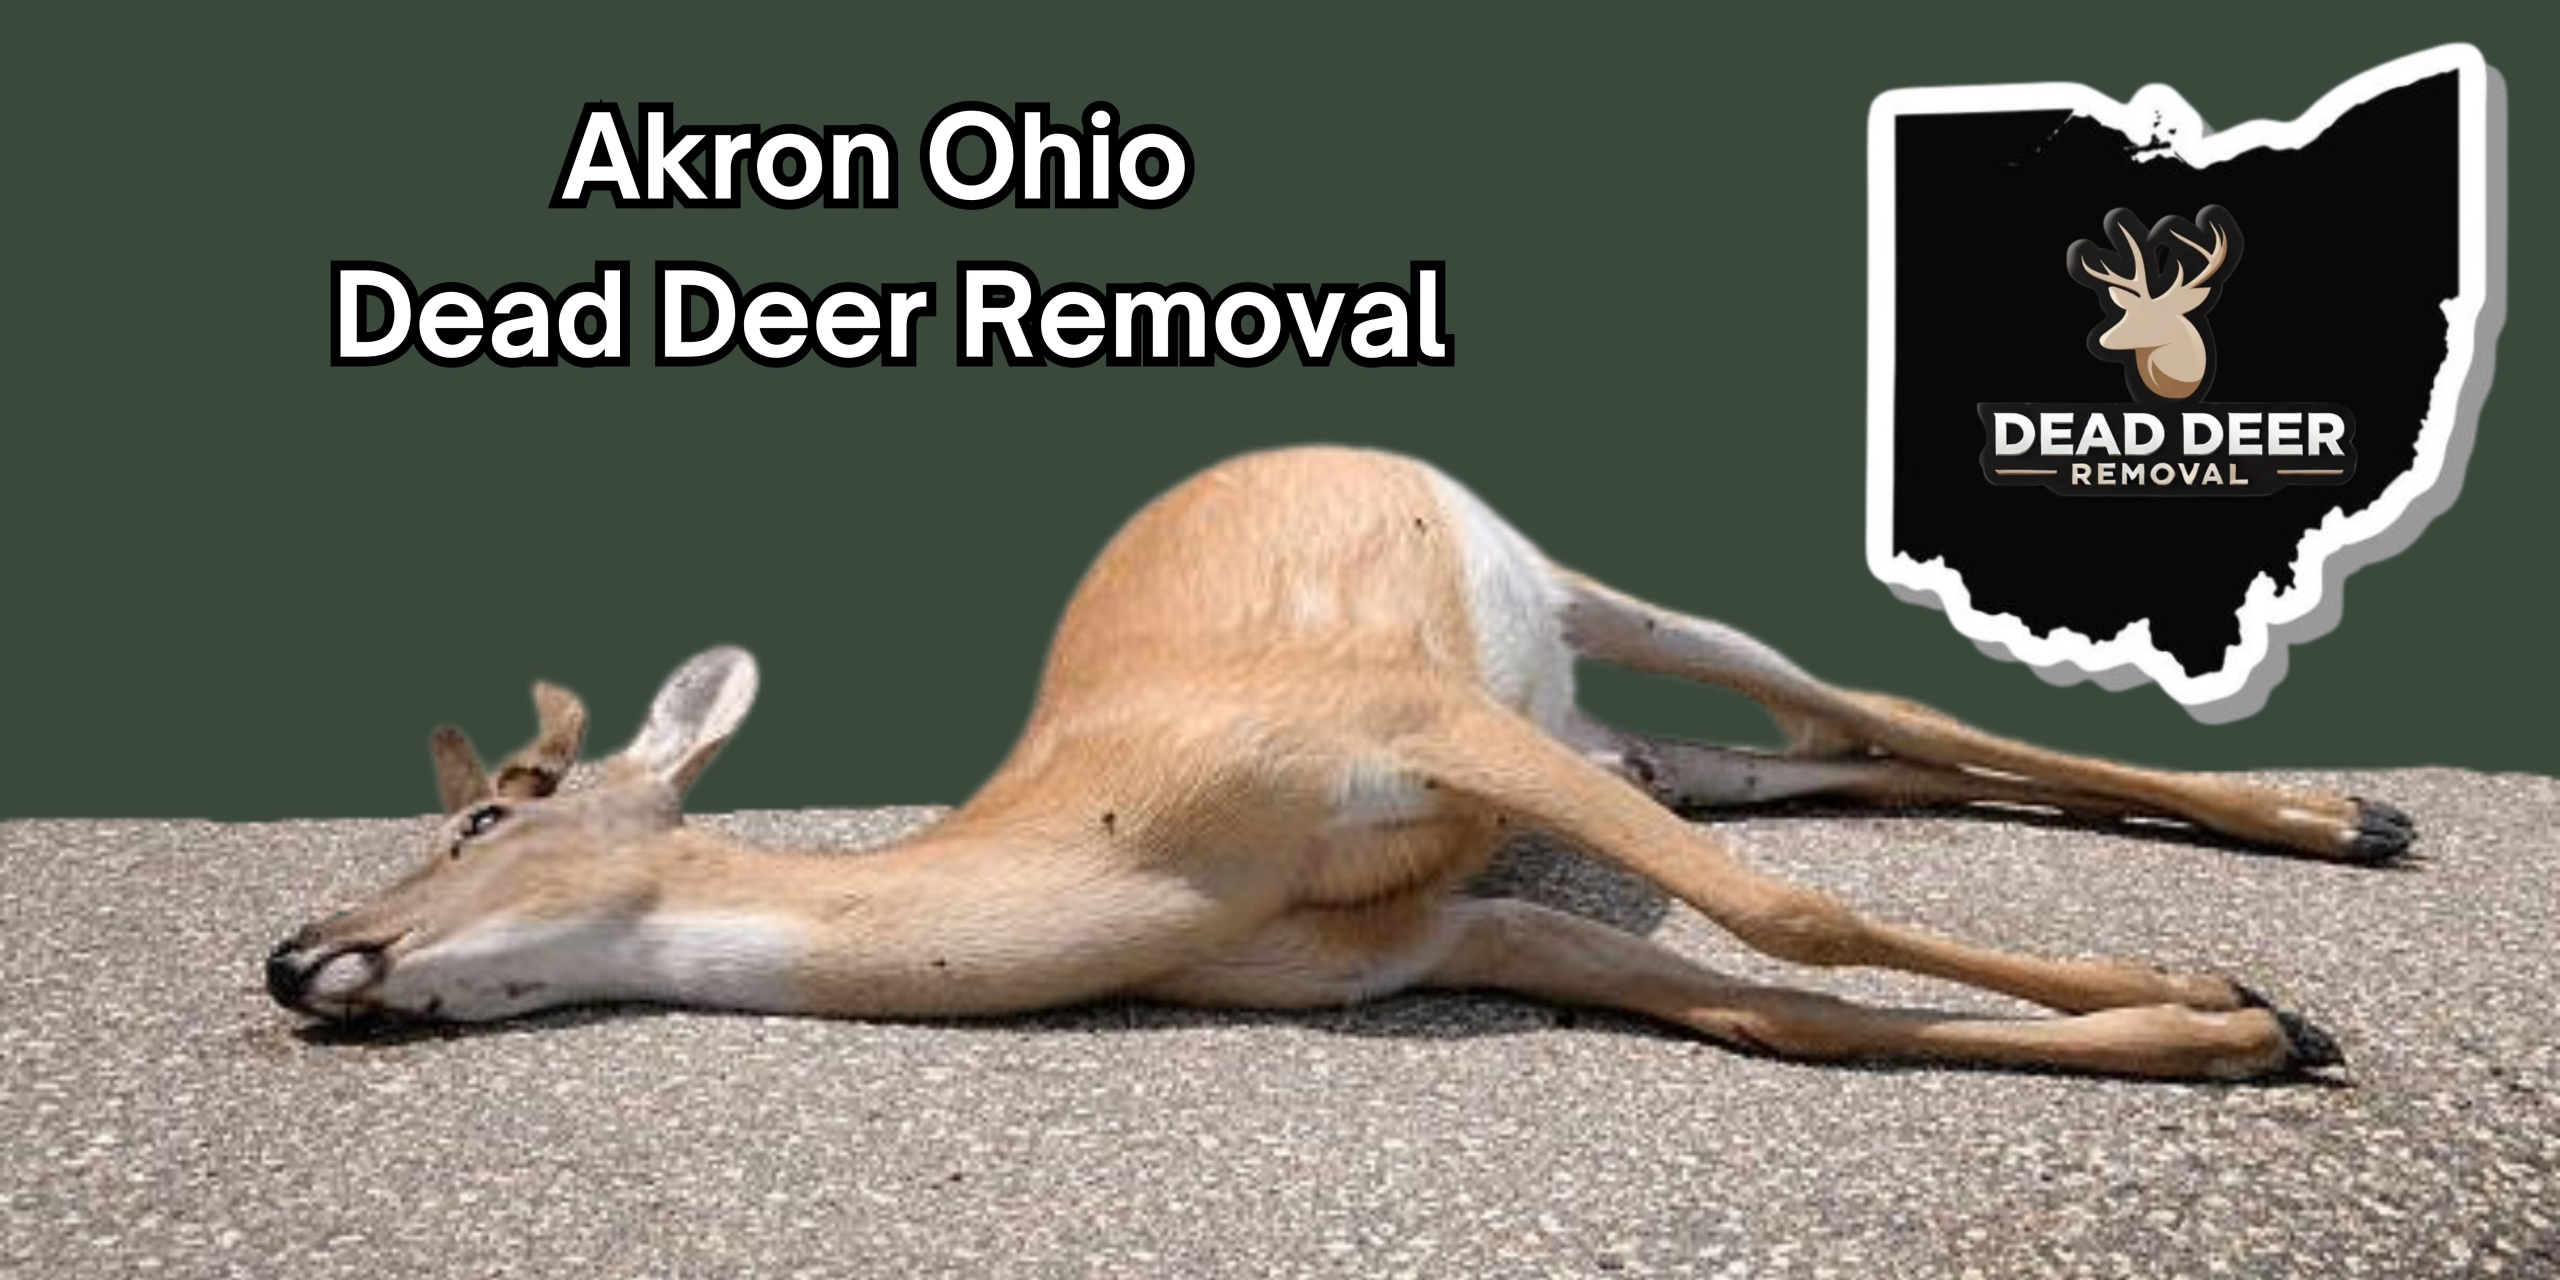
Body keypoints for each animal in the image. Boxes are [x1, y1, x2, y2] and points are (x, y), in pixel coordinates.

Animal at [266, 447, 2413, 1080]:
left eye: (486, 813)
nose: (295, 954)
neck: (1141, 855)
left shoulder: (1416, 727)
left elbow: (1787, 927)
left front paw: (2242, 998)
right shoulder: (1450, 934)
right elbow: (1777, 1010)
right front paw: (2237, 1031)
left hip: (1577, 616)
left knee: (1884, 714)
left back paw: (2346, 816)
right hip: (1602, 729)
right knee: (1819, 765)